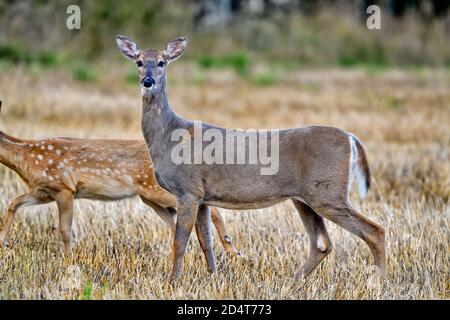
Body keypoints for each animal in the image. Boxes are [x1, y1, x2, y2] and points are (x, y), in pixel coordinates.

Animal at [0, 102, 239, 255]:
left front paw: (69, 259)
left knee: (209, 208)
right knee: (176, 225)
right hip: (150, 199)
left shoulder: (64, 188)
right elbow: (14, 203)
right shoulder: (42, 191)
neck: (26, 157)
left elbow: (65, 230)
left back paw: (232, 249)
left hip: (161, 191)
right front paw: (4, 242)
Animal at [117, 33, 386, 282]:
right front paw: (213, 276)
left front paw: (173, 281)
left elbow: (180, 242)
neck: (170, 135)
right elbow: (206, 241)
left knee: (374, 230)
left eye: (161, 62)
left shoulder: (188, 189)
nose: (148, 81)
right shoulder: (202, 196)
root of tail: (350, 137)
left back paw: (378, 281)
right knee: (322, 243)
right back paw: (294, 281)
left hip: (328, 192)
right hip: (306, 197)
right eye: (139, 62)